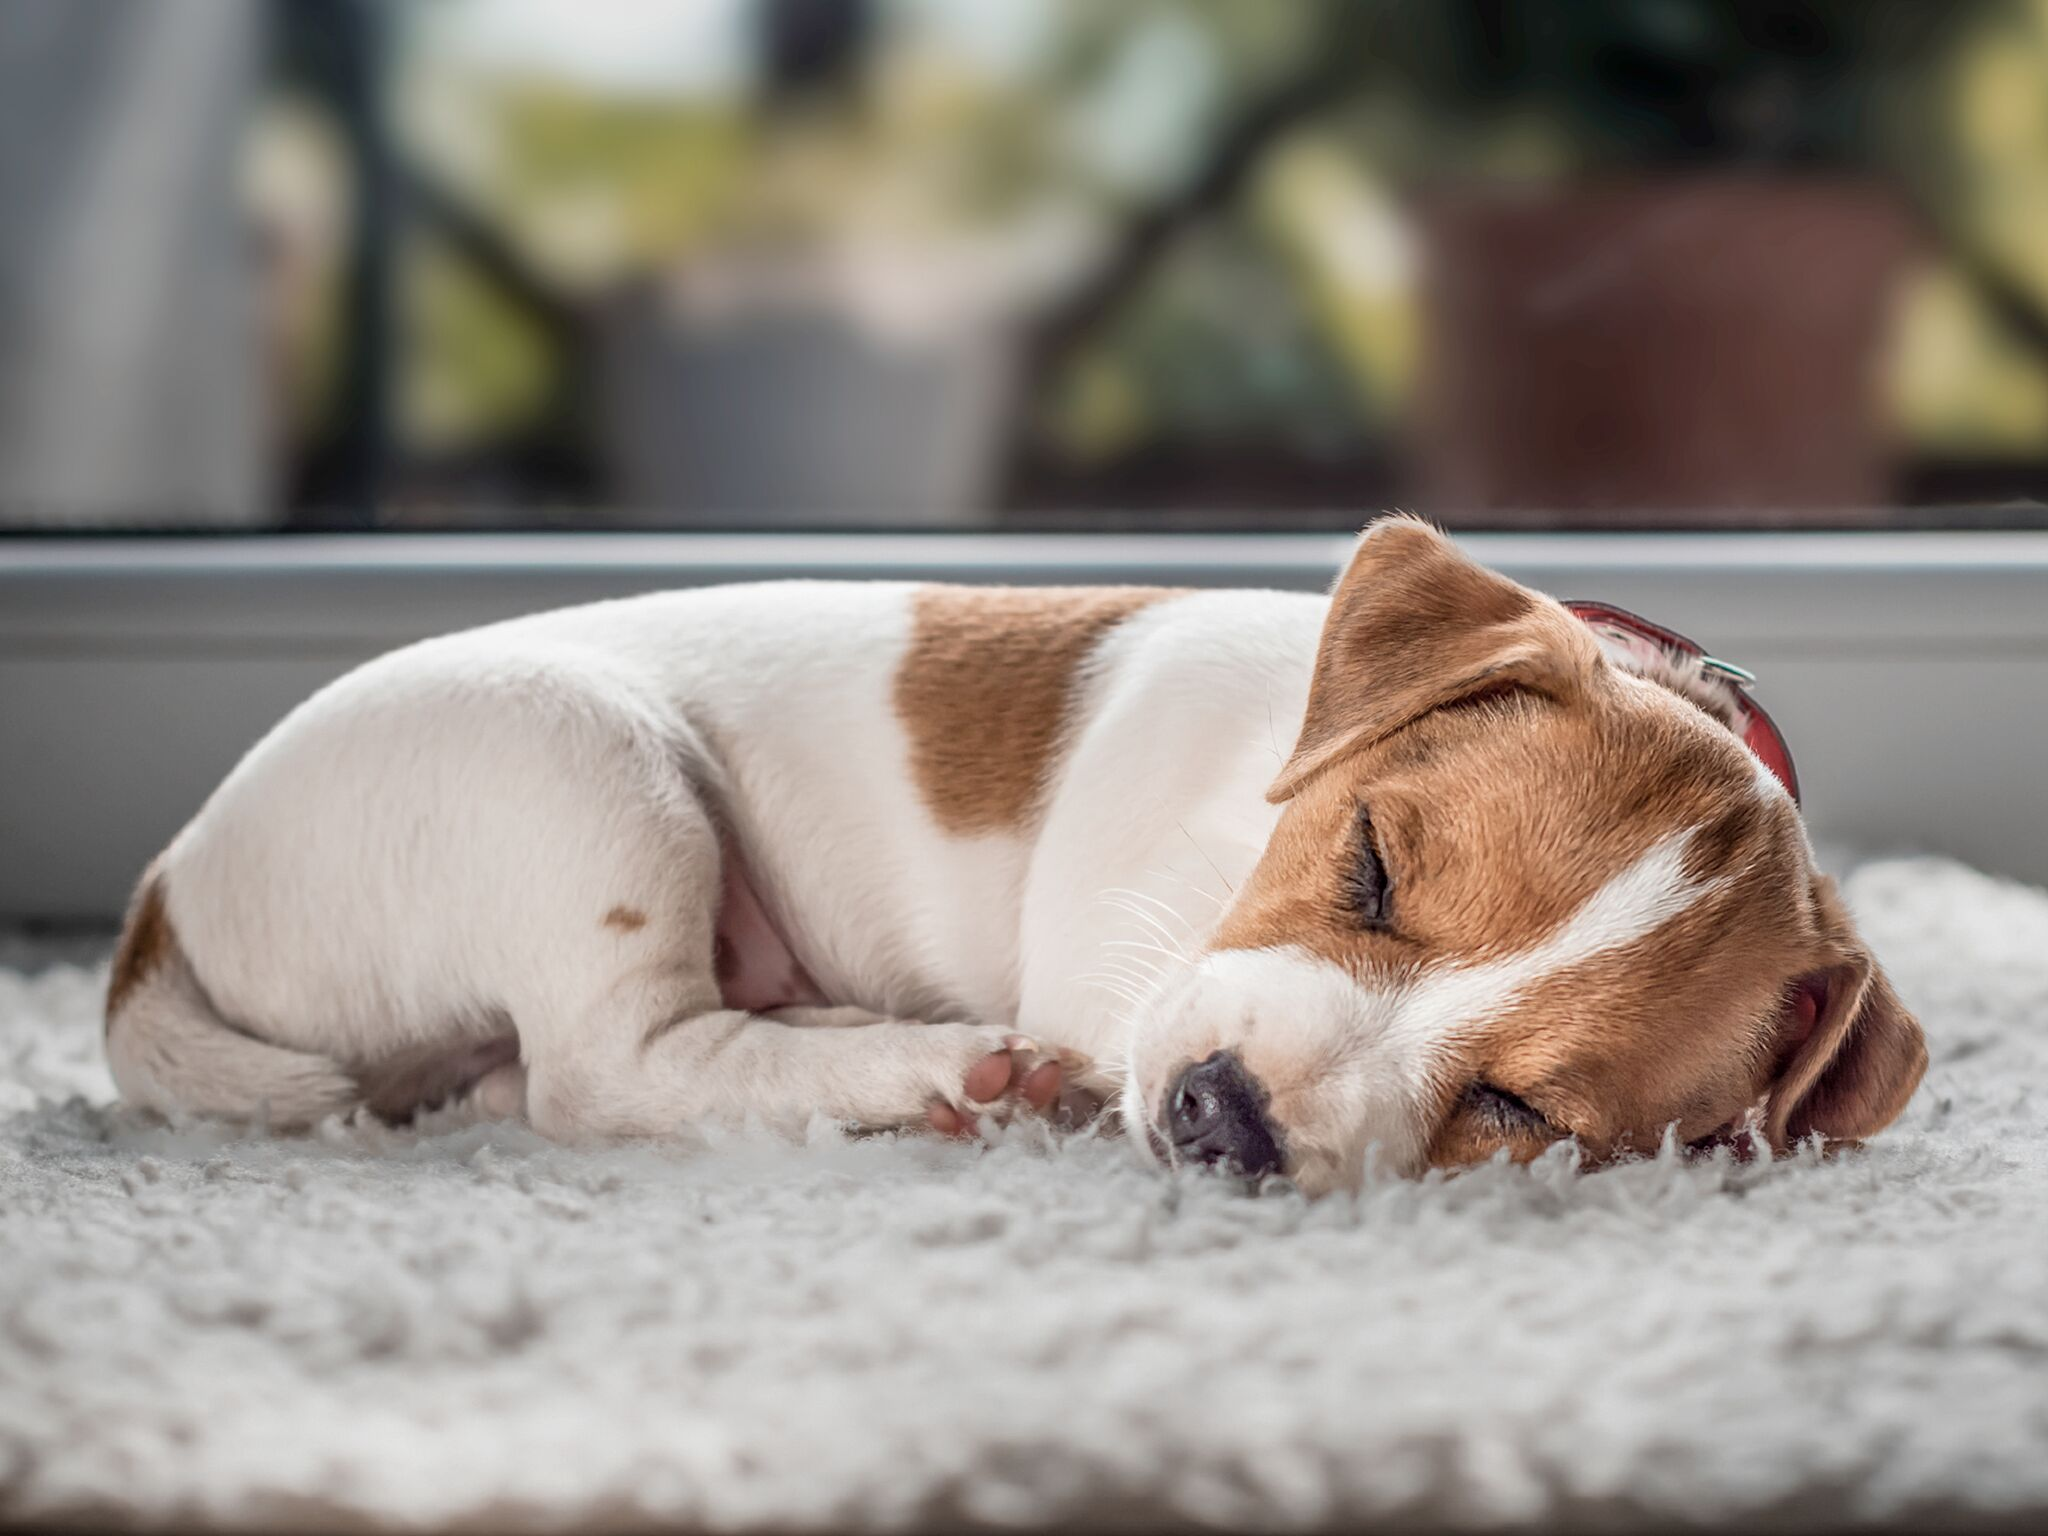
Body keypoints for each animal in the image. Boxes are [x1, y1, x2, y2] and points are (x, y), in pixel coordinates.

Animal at [99, 524, 1916, 1196]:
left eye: (1523, 1111)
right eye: (1373, 869)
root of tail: (162, 896)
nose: (1219, 1116)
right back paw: (937, 1070)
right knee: (608, 1069)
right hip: (586, 771)